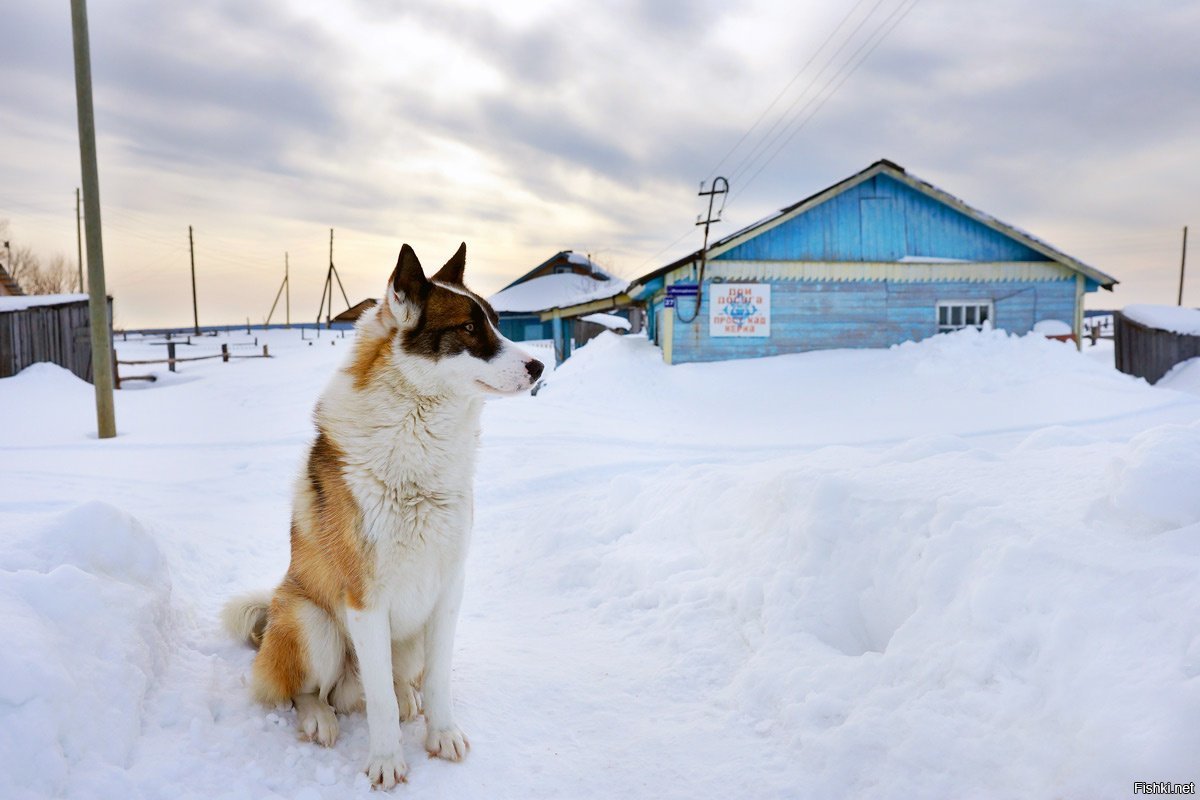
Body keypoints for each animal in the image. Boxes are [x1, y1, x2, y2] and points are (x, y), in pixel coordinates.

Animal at [223, 242, 542, 786]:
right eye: (468, 328)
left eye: (498, 323)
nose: (540, 366)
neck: (417, 431)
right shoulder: (365, 600)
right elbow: (381, 704)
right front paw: (388, 761)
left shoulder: (448, 589)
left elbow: (437, 681)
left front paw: (442, 734)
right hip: (314, 623)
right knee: (310, 691)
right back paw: (321, 719)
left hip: (403, 641)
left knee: (394, 685)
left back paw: (407, 700)